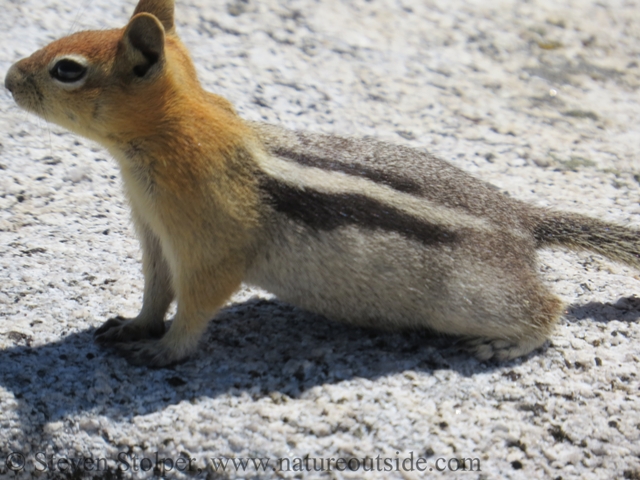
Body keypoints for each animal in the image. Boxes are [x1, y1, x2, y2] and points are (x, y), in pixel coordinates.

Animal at [5, 0, 640, 368]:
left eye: (67, 70)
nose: (9, 78)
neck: (166, 139)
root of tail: (519, 216)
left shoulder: (210, 244)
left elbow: (197, 303)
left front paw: (161, 351)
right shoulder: (157, 237)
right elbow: (156, 290)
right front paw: (133, 325)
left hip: (472, 297)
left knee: (548, 307)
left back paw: (504, 343)